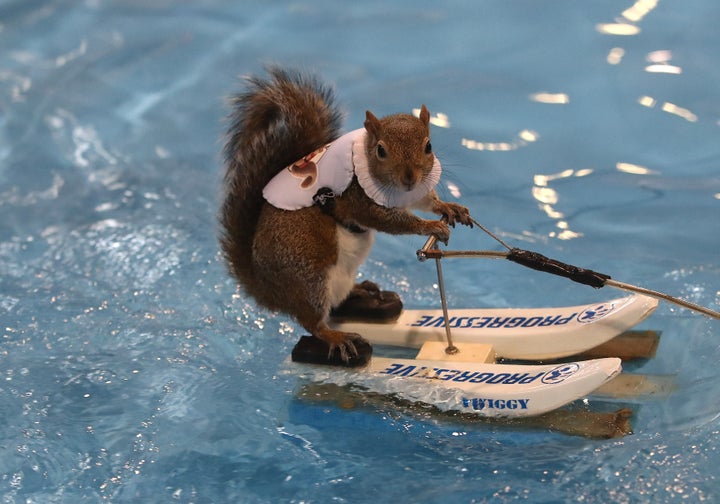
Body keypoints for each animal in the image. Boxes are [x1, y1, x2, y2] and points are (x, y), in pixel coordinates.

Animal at [222, 68, 476, 366]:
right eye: (381, 150)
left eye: (428, 145)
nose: (409, 178)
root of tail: (268, 290)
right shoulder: (360, 200)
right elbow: (390, 220)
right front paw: (431, 226)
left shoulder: (413, 192)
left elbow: (425, 200)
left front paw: (449, 208)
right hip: (310, 273)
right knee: (313, 321)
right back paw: (337, 337)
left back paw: (363, 290)